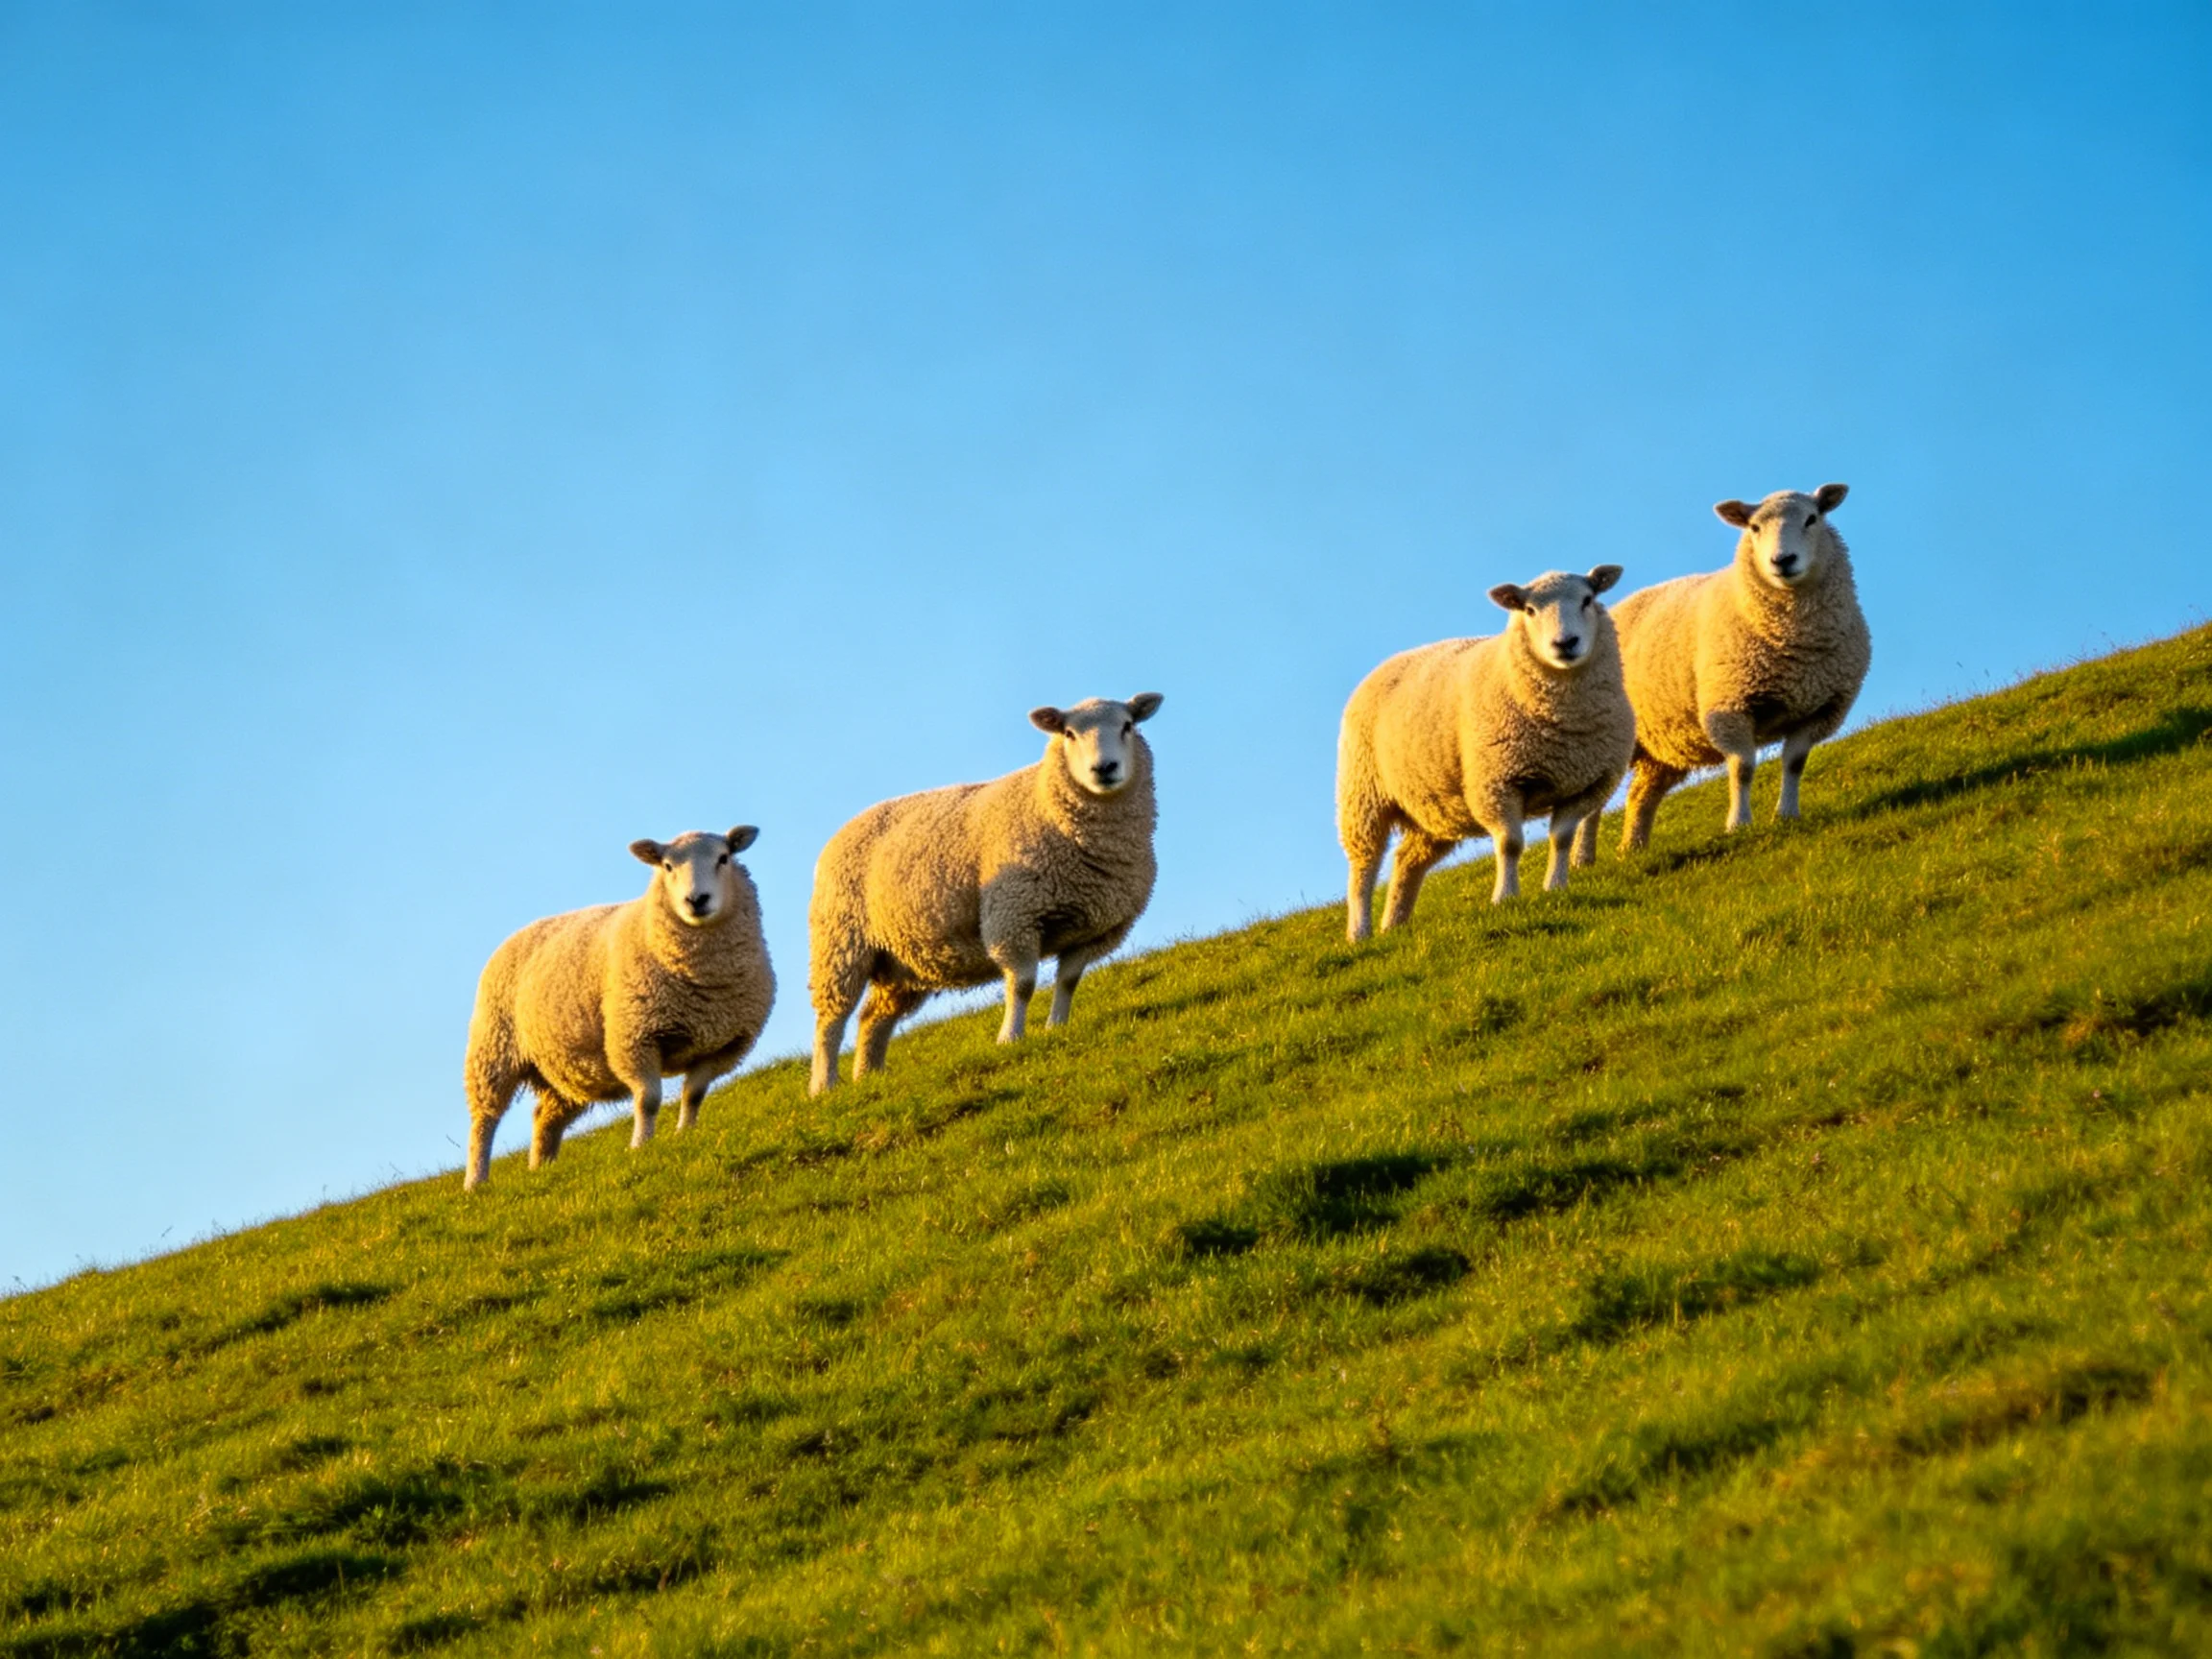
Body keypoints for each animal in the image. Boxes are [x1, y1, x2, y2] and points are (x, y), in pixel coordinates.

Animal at [463, 828, 775, 1191]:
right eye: (667, 866)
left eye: (724, 858)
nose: (697, 900)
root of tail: (521, 931)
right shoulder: (636, 1039)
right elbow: (648, 1100)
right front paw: (641, 1145)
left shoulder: (722, 1046)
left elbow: (694, 1095)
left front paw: (685, 1134)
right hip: (493, 1049)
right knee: (484, 1121)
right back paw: (476, 1181)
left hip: (565, 1069)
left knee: (545, 1117)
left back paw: (542, 1170)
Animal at [807, 694, 1163, 1095]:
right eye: (1069, 733)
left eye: (1128, 726)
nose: (1104, 768)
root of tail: (844, 829)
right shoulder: (1014, 917)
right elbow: (1022, 985)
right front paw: (1010, 1038)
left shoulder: (1095, 930)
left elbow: (1068, 982)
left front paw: (1056, 1028)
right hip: (841, 942)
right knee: (831, 1019)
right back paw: (824, 1085)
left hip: (901, 960)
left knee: (873, 1017)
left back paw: (870, 1077)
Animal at [1338, 566, 1634, 942]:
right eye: (1529, 610)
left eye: (1587, 599)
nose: (1565, 644)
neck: (1563, 726)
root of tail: (1390, 661)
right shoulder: (1497, 783)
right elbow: (1510, 844)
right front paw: (1505, 898)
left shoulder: (1587, 785)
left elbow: (1562, 838)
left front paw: (1555, 887)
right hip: (1364, 794)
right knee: (1364, 865)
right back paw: (1359, 932)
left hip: (1434, 810)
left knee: (1407, 860)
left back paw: (1395, 924)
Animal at [1572, 483, 1870, 861]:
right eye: (1754, 528)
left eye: (1812, 518)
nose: (1782, 561)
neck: (1795, 645)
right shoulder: (1730, 707)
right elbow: (1742, 768)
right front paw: (1739, 825)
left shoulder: (1820, 709)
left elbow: (1794, 763)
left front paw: (1786, 815)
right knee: (1592, 805)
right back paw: (1583, 858)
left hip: (1662, 744)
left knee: (1642, 793)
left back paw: (1633, 849)